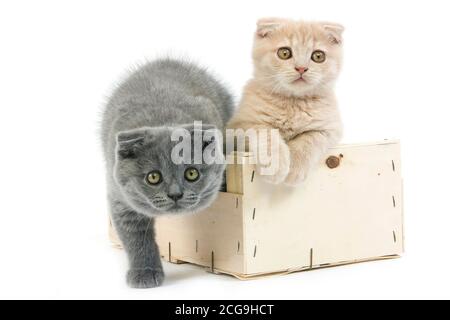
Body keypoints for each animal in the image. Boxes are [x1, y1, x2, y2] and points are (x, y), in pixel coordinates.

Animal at [100, 58, 234, 288]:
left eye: (191, 174)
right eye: (153, 177)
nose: (175, 194)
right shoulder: (120, 199)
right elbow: (136, 238)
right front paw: (144, 273)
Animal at [229, 18, 344, 185]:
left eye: (318, 56)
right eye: (284, 53)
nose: (301, 68)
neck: (293, 103)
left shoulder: (330, 129)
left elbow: (309, 139)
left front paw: (294, 168)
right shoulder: (239, 125)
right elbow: (265, 132)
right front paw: (275, 165)